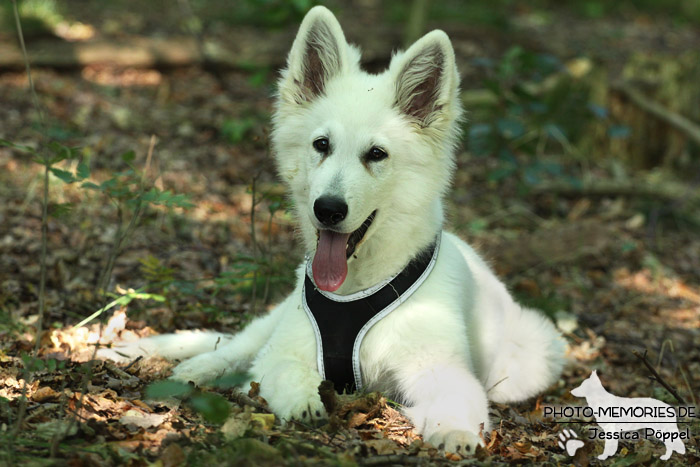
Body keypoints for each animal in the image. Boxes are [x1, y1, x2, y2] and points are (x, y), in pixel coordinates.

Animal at [102, 5, 564, 456]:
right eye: (321, 145)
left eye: (376, 154)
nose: (327, 210)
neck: (355, 291)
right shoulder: (283, 354)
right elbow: (284, 372)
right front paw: (305, 403)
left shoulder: (439, 367)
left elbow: (455, 400)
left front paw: (455, 432)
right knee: (238, 345)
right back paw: (196, 368)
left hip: (536, 354)